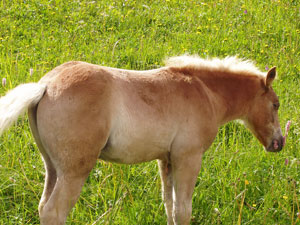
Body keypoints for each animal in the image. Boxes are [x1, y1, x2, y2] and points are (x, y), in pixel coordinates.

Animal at [0, 55, 284, 225]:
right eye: (276, 104)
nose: (279, 143)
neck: (204, 92)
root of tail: (46, 86)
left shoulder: (166, 159)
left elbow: (169, 205)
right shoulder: (189, 157)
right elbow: (183, 210)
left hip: (52, 166)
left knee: (43, 206)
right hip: (75, 170)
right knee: (55, 212)